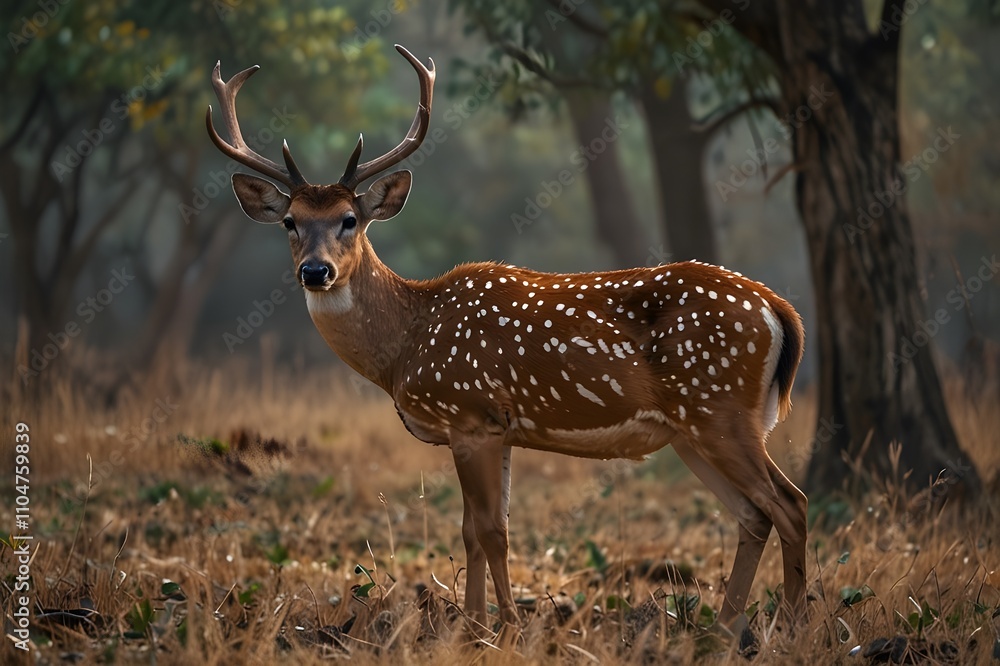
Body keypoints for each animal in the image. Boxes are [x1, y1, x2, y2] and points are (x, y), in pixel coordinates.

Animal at [207, 44, 808, 642]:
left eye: (349, 219)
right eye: (290, 221)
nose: (316, 271)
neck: (406, 343)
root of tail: (782, 311)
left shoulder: (470, 414)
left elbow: (490, 530)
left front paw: (506, 628)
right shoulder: (500, 429)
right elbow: (475, 529)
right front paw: (476, 626)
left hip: (719, 407)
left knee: (790, 503)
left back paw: (792, 622)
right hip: (692, 429)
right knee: (753, 514)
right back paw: (724, 628)